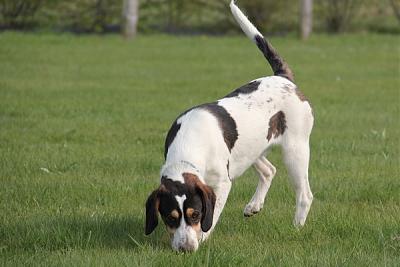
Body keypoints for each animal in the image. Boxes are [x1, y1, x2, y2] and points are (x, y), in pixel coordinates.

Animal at [145, 0, 314, 253]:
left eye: (195, 215)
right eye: (170, 217)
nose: (186, 249)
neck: (188, 146)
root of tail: (284, 78)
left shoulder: (222, 184)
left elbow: (212, 217)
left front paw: (203, 238)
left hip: (295, 151)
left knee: (305, 194)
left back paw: (297, 227)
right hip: (249, 150)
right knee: (269, 170)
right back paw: (254, 205)